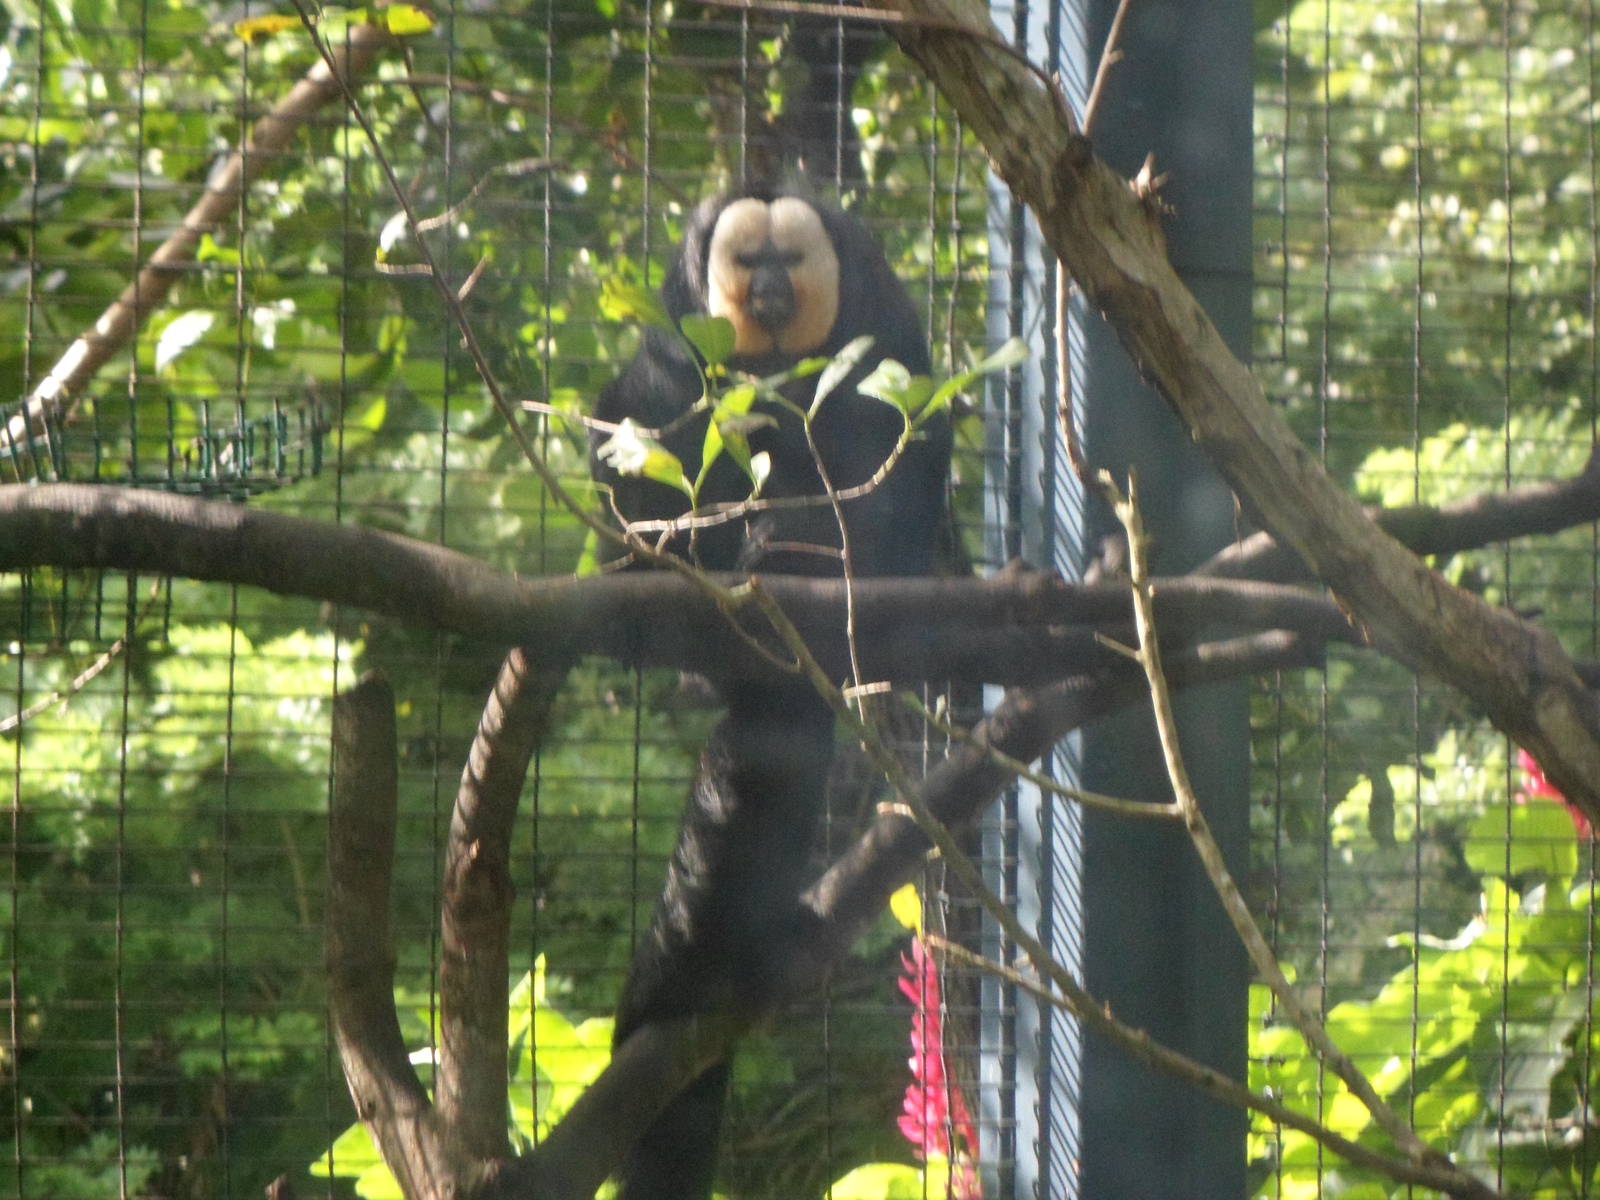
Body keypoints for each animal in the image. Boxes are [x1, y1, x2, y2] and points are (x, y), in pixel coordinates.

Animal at [592, 190, 950, 1200]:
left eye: (787, 259)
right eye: (747, 263)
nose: (772, 291)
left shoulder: (881, 337)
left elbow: (894, 452)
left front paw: (816, 541)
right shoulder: (672, 353)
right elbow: (637, 443)